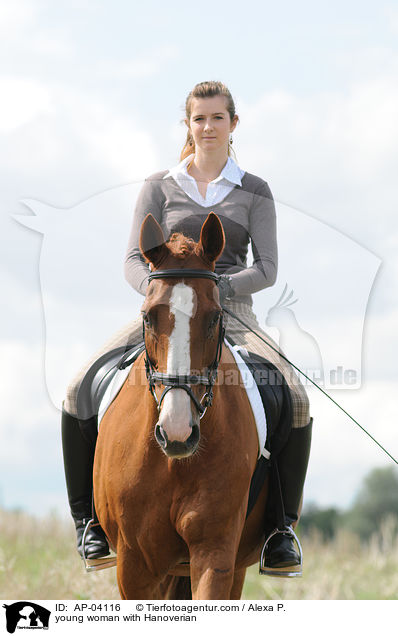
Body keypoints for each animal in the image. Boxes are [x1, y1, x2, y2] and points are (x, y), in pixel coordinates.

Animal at [93, 211, 268, 600]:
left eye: (215, 316)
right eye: (147, 317)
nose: (177, 432)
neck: (173, 464)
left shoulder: (215, 553)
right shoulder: (134, 565)